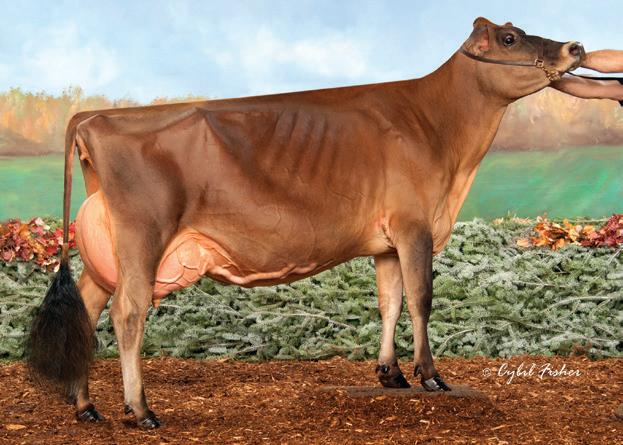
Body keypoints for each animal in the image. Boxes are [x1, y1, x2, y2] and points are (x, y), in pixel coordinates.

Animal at [27, 17, 584, 428]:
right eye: (510, 39)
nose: (574, 46)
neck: (439, 132)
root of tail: (94, 118)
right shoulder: (414, 226)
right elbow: (421, 299)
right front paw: (430, 377)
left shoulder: (386, 241)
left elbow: (390, 301)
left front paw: (390, 374)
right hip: (143, 235)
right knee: (128, 312)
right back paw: (140, 410)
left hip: (109, 249)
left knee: (89, 305)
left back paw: (86, 407)